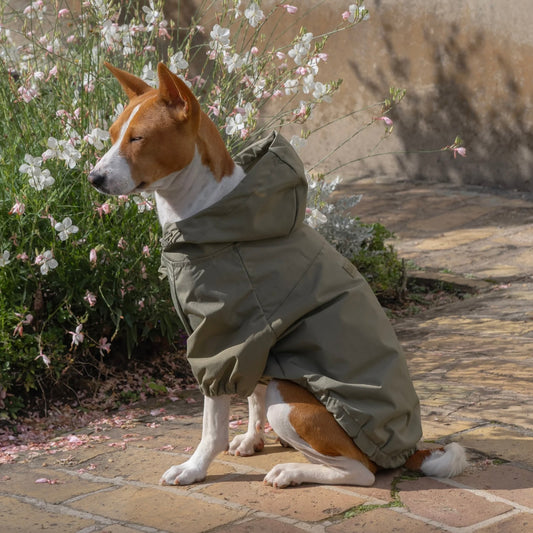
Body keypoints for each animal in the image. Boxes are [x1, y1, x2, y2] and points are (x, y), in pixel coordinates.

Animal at [88, 62, 466, 486]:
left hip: (287, 402)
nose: (93, 178)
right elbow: (250, 395)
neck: (209, 209)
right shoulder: (255, 345)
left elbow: (212, 426)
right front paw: (252, 440)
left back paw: (293, 470)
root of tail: (408, 450)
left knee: (361, 472)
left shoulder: (222, 343)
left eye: (138, 138)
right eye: (113, 135)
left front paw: (195, 467)